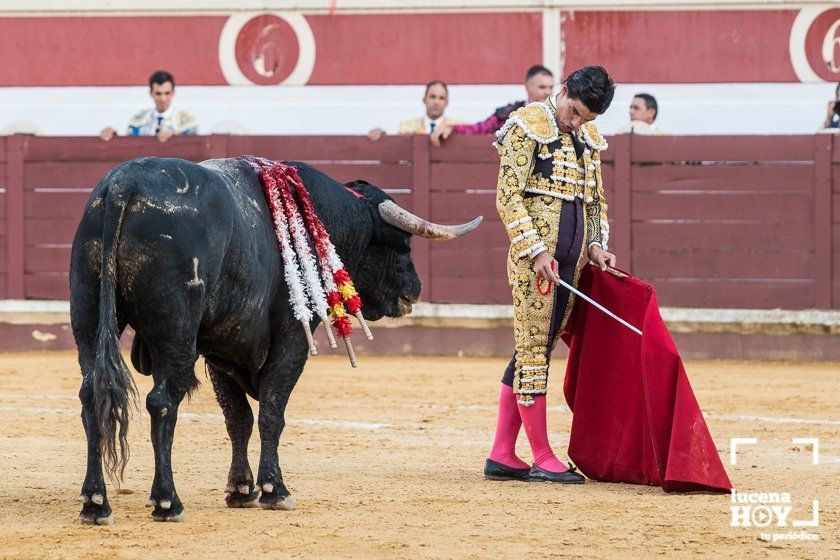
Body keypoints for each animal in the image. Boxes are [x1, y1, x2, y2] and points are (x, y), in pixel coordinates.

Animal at [71, 155, 480, 524]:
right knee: (162, 403)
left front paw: (240, 490)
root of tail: (124, 185)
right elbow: (272, 412)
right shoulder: (291, 340)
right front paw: (274, 490)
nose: (415, 290)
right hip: (177, 337)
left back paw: (95, 502)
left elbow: (238, 418)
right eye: (400, 244)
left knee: (92, 396)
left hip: (90, 321)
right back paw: (167, 502)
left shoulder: (219, 349)